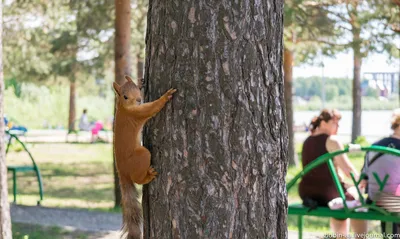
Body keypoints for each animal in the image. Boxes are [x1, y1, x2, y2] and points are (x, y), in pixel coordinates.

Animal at [111, 76, 176, 239]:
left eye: (135, 87)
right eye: (125, 96)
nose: (140, 99)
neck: (123, 107)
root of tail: (122, 171)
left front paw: (141, 82)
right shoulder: (137, 113)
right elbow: (151, 108)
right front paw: (165, 96)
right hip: (142, 155)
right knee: (138, 178)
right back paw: (148, 176)